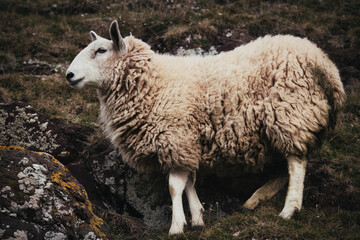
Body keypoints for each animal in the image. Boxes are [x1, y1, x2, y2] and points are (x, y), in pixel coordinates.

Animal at [67, 20, 346, 234]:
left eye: (101, 50)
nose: (69, 75)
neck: (153, 82)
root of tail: (324, 63)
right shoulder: (187, 143)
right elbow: (189, 181)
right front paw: (198, 217)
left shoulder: (176, 138)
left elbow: (174, 186)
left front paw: (177, 226)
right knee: (283, 168)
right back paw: (256, 199)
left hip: (290, 115)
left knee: (296, 163)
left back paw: (289, 209)